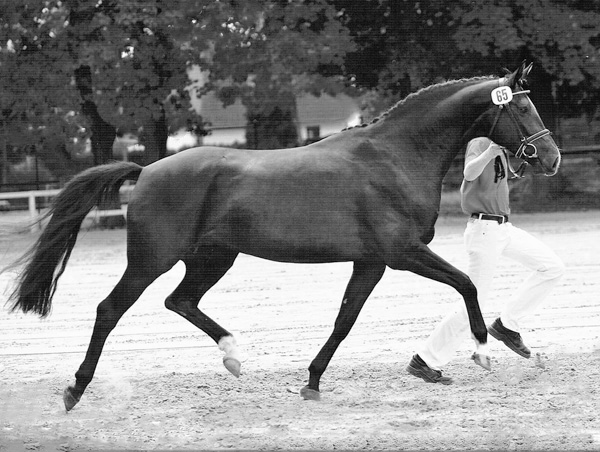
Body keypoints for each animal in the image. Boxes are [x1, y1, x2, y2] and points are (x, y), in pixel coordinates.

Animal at [5, 61, 556, 412]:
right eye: (522, 109)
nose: (550, 158)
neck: (394, 155)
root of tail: (146, 170)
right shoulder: (403, 253)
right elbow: (467, 283)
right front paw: (484, 350)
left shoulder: (371, 262)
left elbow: (344, 321)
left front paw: (311, 383)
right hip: (150, 260)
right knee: (109, 310)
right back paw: (76, 390)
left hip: (214, 258)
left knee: (180, 301)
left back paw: (233, 355)